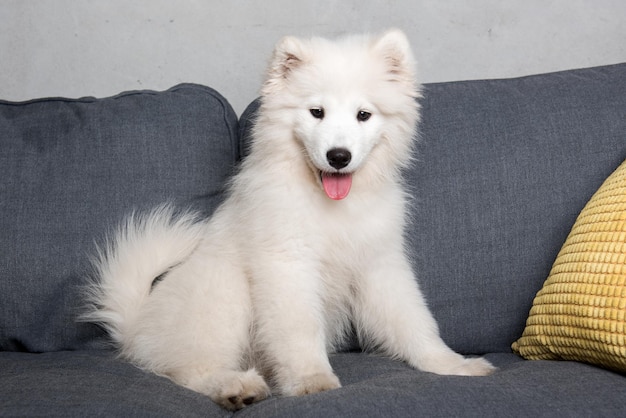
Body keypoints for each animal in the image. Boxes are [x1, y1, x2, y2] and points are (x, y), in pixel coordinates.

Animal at [84, 30, 492, 412]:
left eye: (363, 114)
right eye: (317, 112)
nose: (338, 156)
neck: (331, 208)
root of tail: (137, 329)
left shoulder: (379, 265)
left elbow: (413, 320)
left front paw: (451, 364)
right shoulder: (288, 266)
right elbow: (300, 329)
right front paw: (313, 381)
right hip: (222, 293)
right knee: (190, 370)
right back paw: (235, 387)